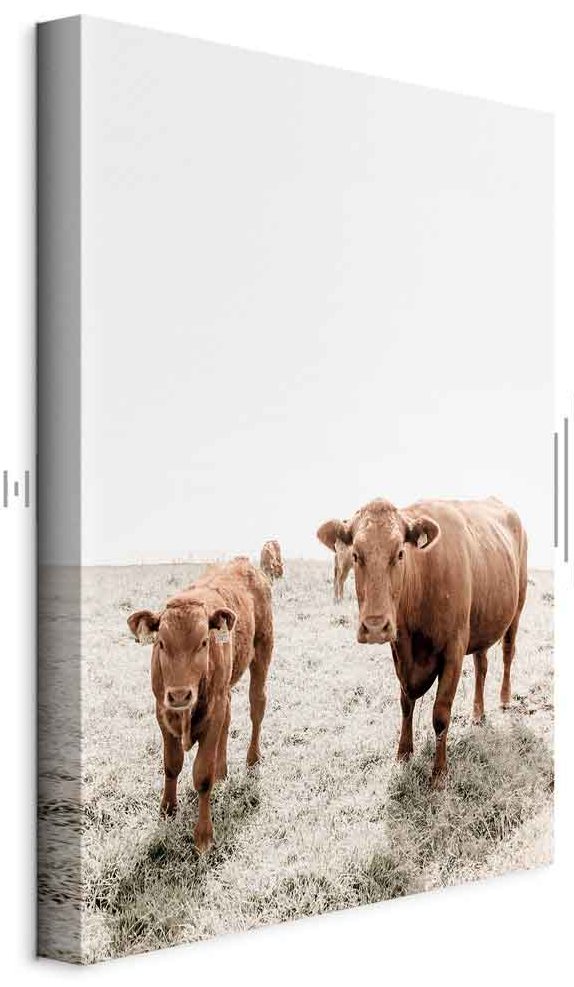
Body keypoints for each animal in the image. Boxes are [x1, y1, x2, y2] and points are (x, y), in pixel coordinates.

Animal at [127, 557, 273, 852]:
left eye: (204, 642)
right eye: (161, 644)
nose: (180, 695)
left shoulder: (212, 712)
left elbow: (202, 776)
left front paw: (203, 835)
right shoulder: (162, 711)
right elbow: (171, 764)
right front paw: (167, 809)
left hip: (263, 650)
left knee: (257, 706)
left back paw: (252, 758)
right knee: (229, 719)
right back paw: (222, 770)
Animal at [317, 497, 527, 786]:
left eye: (400, 553)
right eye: (356, 555)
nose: (375, 626)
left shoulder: (453, 651)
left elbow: (440, 714)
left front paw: (439, 774)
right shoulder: (400, 652)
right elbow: (406, 703)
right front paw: (403, 753)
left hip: (516, 609)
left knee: (508, 653)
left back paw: (505, 699)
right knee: (481, 667)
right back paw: (477, 713)